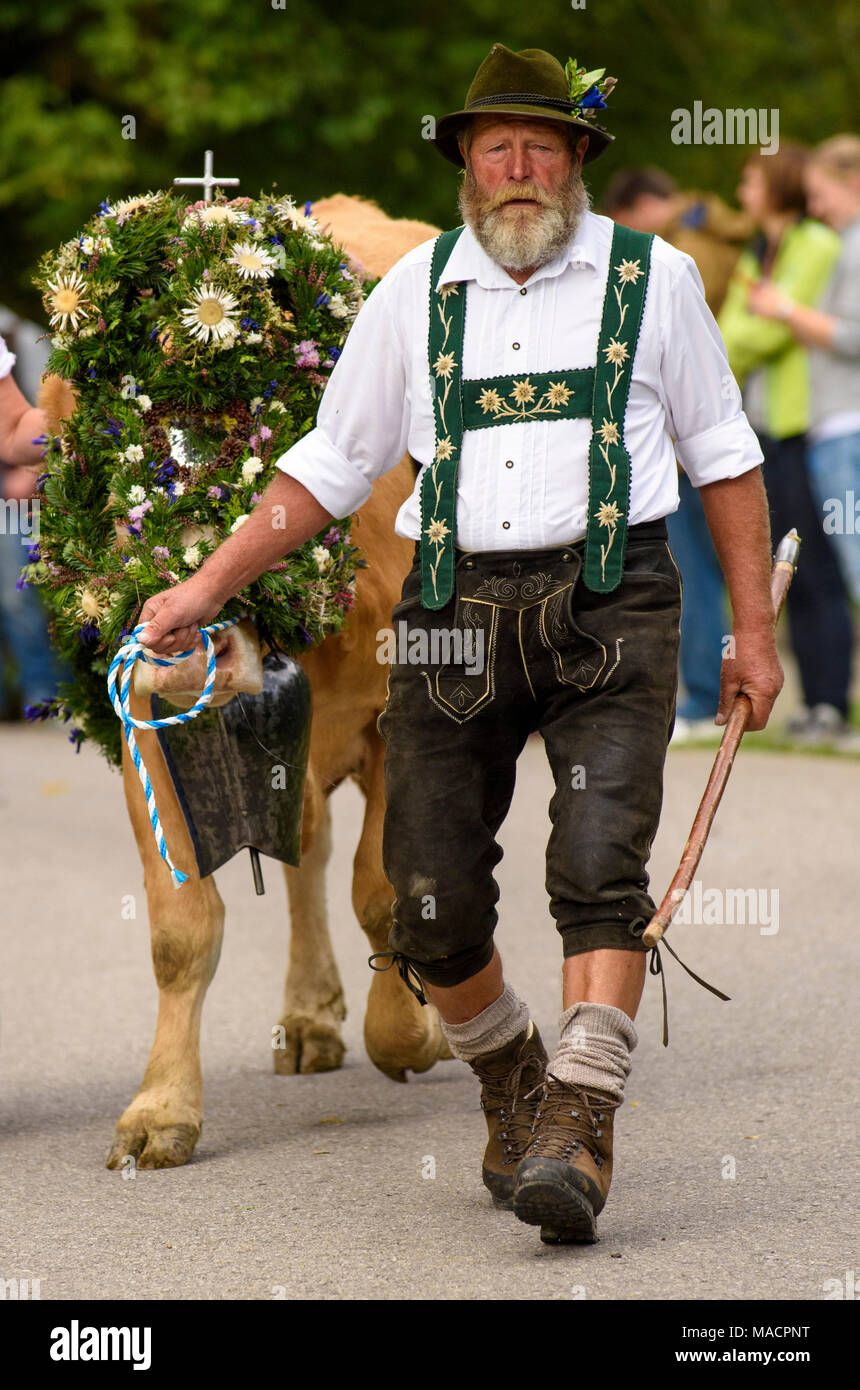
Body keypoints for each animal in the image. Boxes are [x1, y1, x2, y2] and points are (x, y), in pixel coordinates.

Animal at [39, 193, 450, 1173]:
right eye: (110, 456)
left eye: (265, 442)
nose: (186, 650)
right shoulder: (142, 734)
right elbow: (180, 929)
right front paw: (161, 1110)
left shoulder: (397, 713)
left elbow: (384, 891)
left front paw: (411, 1031)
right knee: (306, 842)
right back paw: (308, 1017)